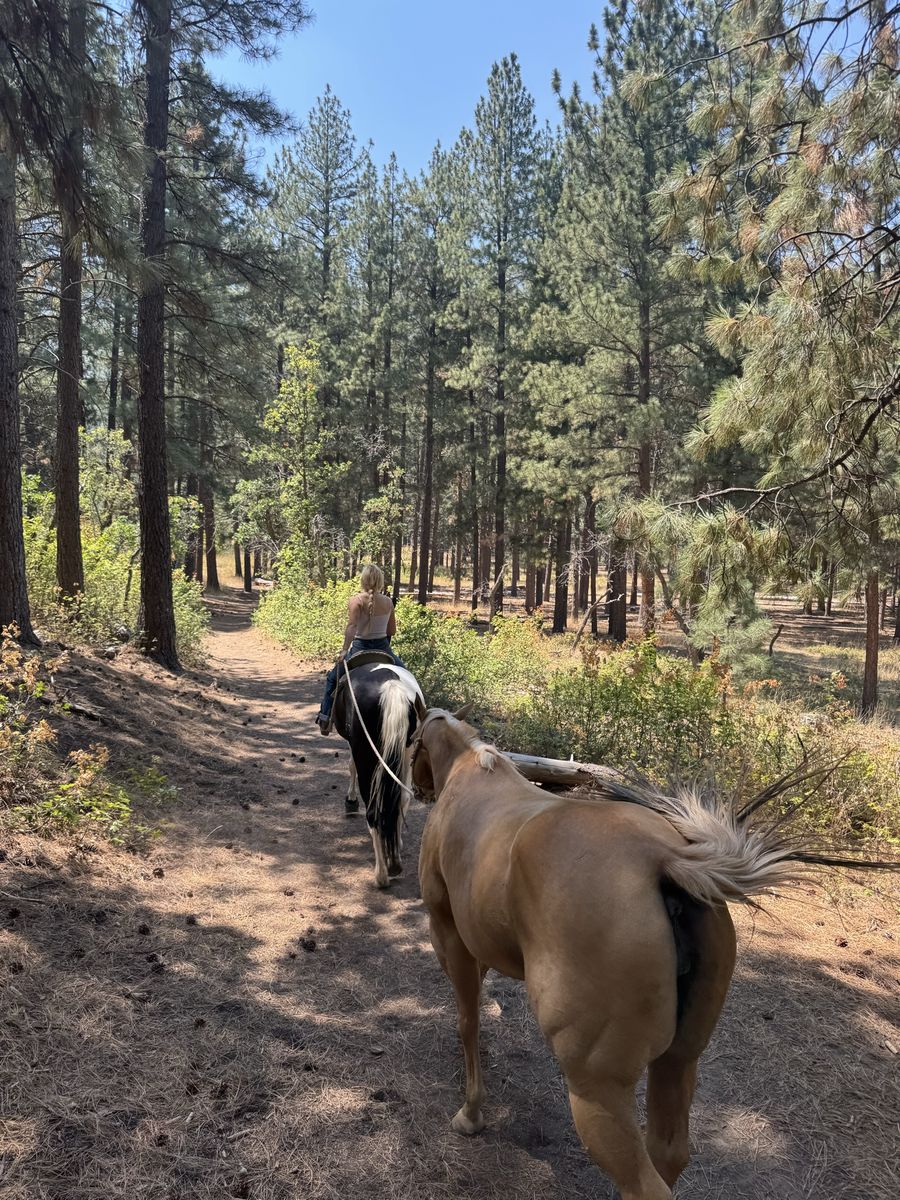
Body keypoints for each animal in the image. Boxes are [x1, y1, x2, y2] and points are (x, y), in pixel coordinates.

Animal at [332, 655, 425, 889]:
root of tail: (392, 686)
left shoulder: (354, 745)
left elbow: (350, 766)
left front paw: (350, 801)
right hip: (406, 752)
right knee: (402, 799)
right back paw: (395, 857)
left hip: (365, 750)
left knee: (373, 811)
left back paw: (381, 875)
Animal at [412, 706, 823, 1200]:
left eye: (413, 743)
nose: (417, 788)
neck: (471, 771)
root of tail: (660, 858)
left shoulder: (448, 934)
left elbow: (467, 1021)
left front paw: (471, 1113)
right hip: (678, 1061)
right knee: (668, 1152)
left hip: (598, 1092)